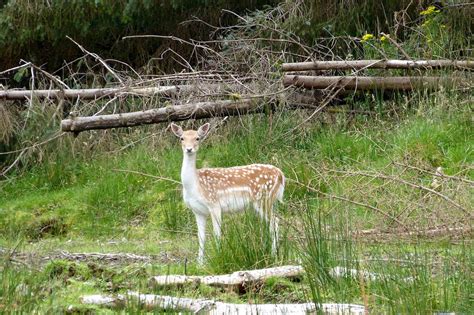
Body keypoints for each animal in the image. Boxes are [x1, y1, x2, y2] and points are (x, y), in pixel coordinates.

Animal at [170, 123, 286, 264]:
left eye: (197, 138)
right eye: (182, 138)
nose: (189, 149)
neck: (195, 187)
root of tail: (281, 175)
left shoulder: (214, 204)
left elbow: (217, 233)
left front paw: (219, 256)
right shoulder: (197, 211)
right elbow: (201, 236)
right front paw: (200, 263)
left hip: (263, 198)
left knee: (275, 221)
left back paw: (274, 255)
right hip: (268, 202)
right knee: (272, 222)